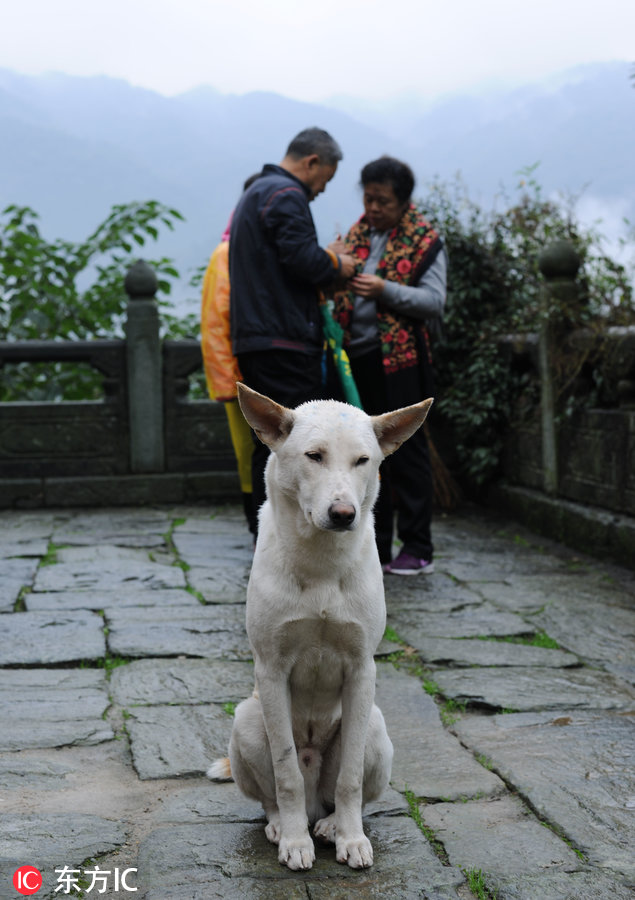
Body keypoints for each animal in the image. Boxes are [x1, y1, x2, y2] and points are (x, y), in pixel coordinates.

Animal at [209, 384, 432, 868]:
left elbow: (349, 779)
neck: (322, 563)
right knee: (276, 792)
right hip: (248, 719)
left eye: (363, 460)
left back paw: (330, 825)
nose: (344, 513)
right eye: (314, 456)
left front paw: (351, 838)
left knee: (340, 793)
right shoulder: (271, 670)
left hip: (375, 726)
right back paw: (283, 824)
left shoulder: (362, 669)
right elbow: (286, 773)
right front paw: (295, 841)